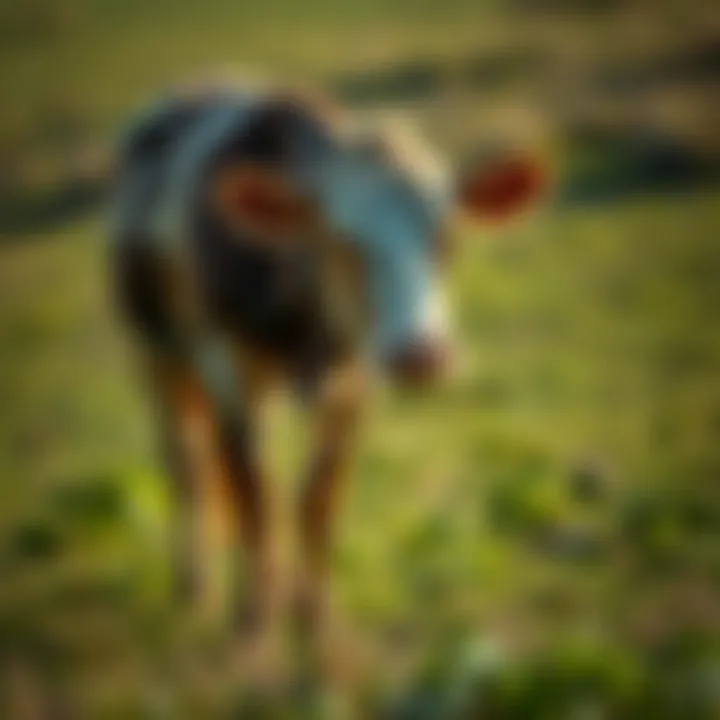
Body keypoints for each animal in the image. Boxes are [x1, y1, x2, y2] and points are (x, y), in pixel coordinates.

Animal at [110, 78, 545, 644]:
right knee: (188, 463)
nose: (421, 354)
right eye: (341, 240)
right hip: (153, 350)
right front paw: (255, 624)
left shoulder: (354, 381)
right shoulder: (225, 364)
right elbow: (256, 497)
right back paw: (195, 588)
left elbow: (318, 501)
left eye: (447, 238)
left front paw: (316, 620)